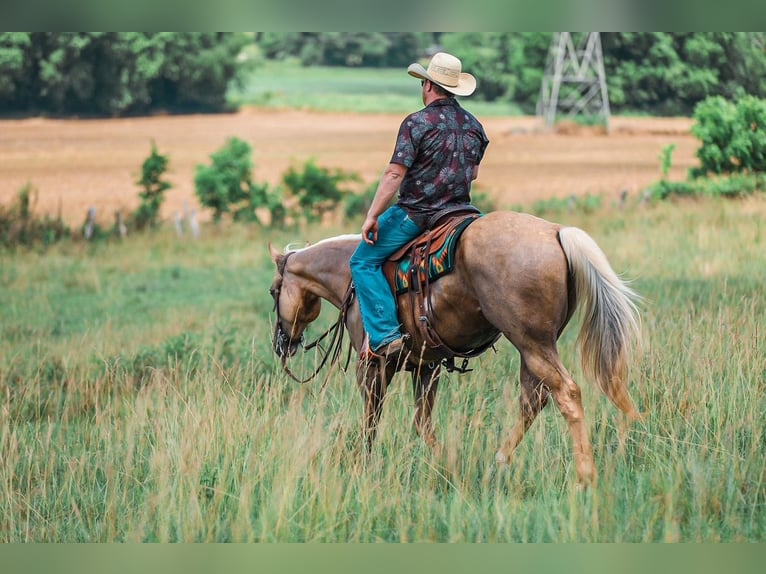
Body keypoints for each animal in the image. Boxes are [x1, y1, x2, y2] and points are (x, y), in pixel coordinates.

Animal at [268, 210, 642, 486]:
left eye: (274, 291)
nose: (282, 343)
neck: (349, 275)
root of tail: (556, 231)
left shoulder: (373, 365)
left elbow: (371, 421)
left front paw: (361, 466)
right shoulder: (426, 366)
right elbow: (422, 422)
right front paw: (448, 466)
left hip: (531, 342)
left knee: (566, 393)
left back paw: (584, 476)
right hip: (536, 346)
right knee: (533, 400)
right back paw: (499, 461)